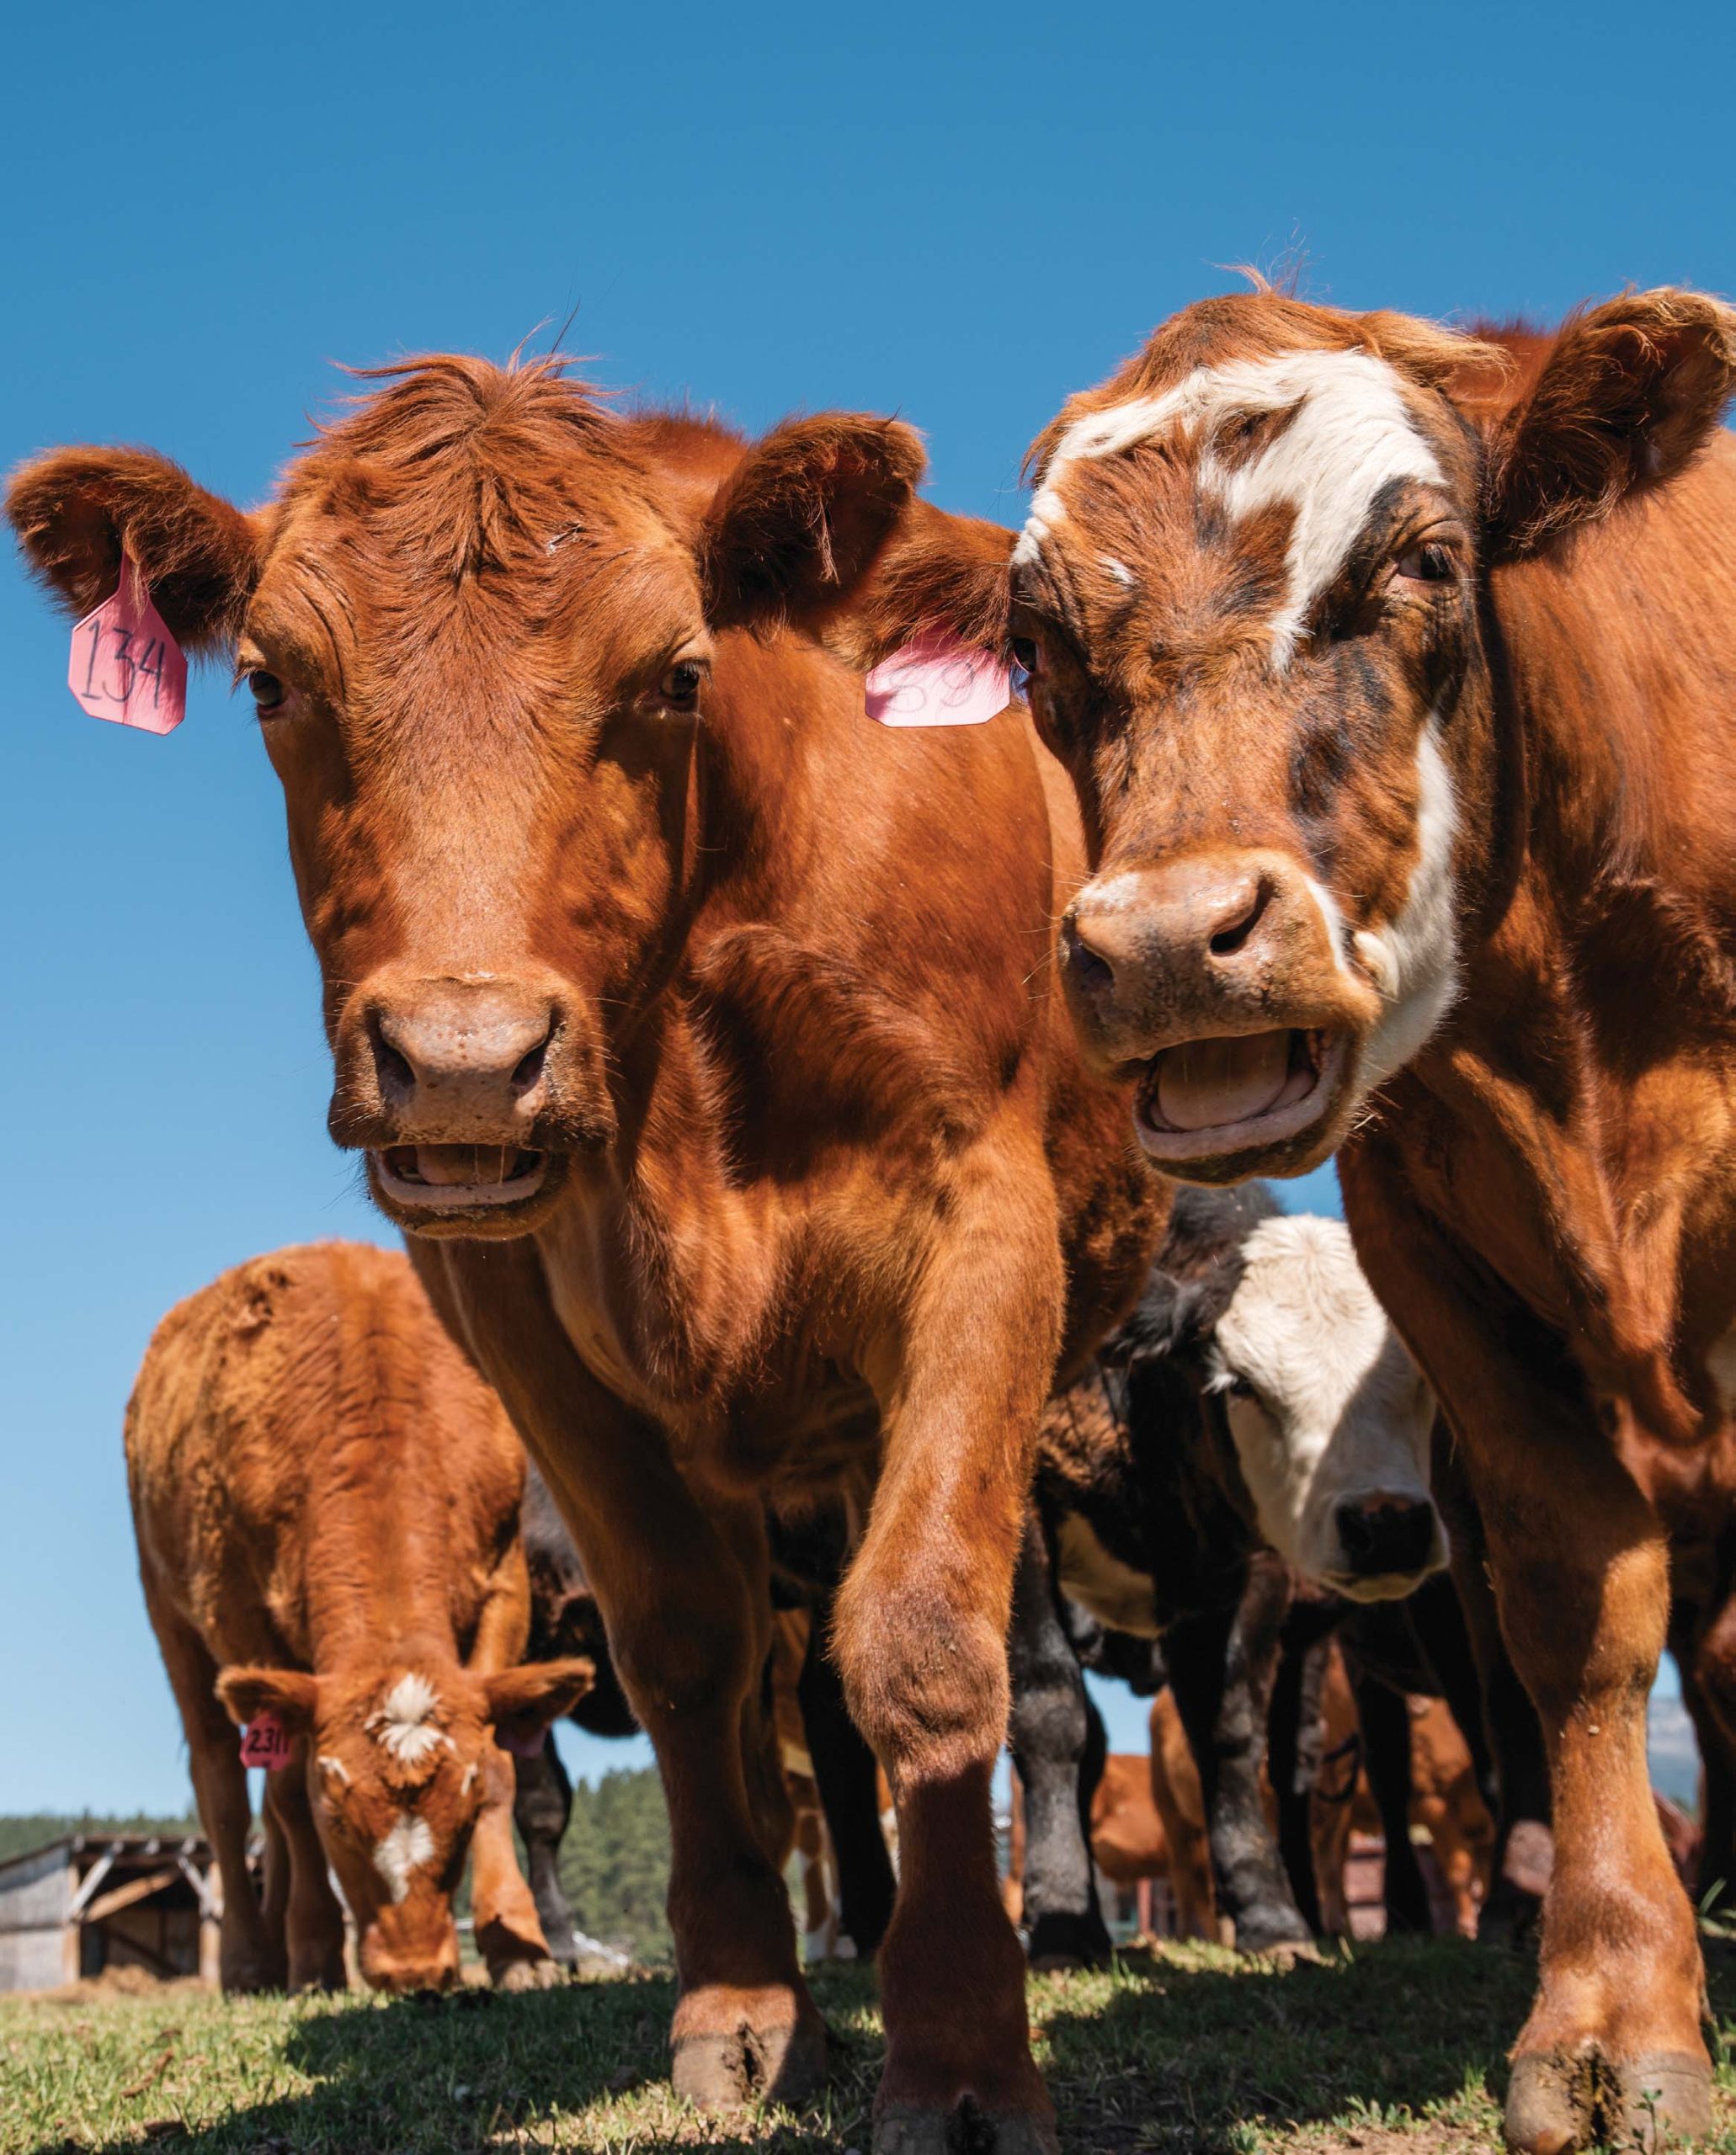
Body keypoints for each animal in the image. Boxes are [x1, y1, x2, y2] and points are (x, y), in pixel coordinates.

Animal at [124, 1241, 594, 1995]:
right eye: (338, 1817)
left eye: (463, 1813)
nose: (416, 1972)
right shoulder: (241, 1610)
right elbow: (289, 1792)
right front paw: (316, 1954)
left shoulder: (507, 1584)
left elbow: (503, 1766)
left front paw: (517, 1945)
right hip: (174, 1623)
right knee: (223, 1786)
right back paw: (253, 1960)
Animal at [1007, 1182, 1442, 1963]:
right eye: (1239, 1383)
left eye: (1419, 1371)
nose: (1389, 1524)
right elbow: (1051, 1713)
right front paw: (1059, 1921)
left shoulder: (1250, 1572)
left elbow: (1229, 1733)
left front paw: (1272, 1917)